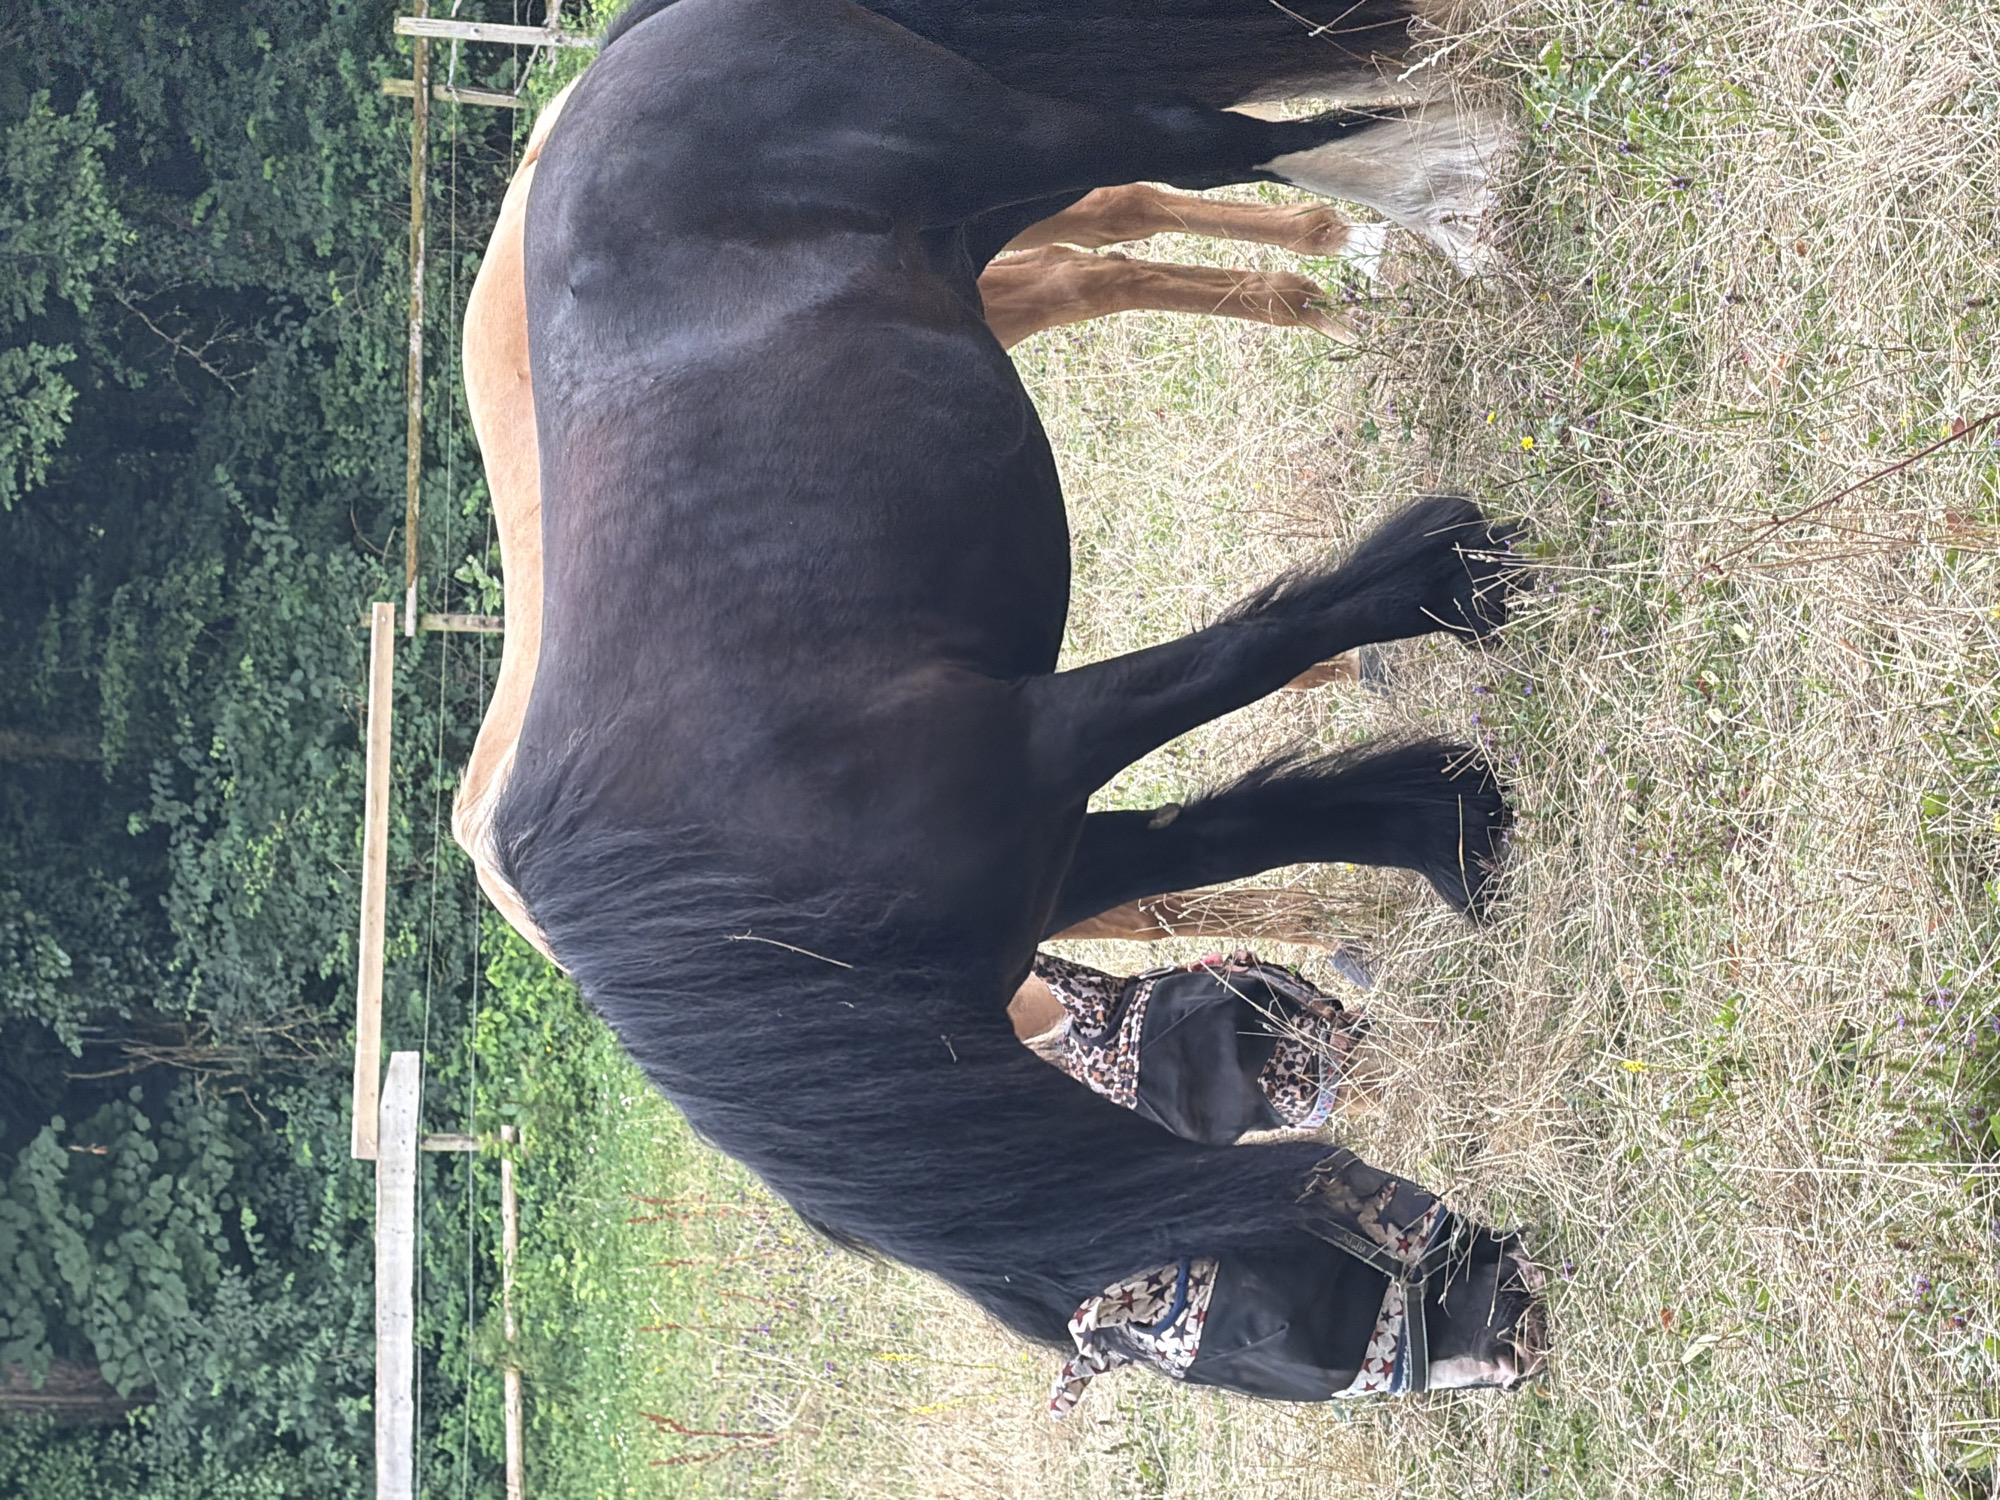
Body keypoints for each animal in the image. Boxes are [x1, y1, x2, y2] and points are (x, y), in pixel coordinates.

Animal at [493, 0, 1539, 1399]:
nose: (1505, 1326)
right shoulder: (1059, 852)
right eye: (1247, 1337)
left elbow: (1244, 657)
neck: (743, 897)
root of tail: (620, 57)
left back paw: (1454, 185)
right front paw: (1452, 822)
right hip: (988, 216)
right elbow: (1239, 827)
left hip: (1012, 146)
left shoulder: (1039, 742)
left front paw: (1454, 579)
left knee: (1204, 143)